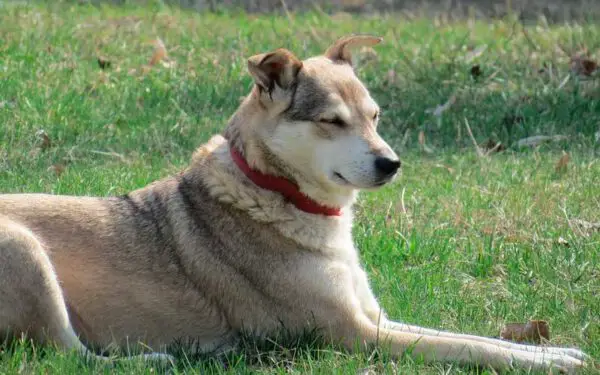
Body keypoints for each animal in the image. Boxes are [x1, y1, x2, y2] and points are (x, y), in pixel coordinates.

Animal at [0, 35, 592, 374]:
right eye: (332, 121)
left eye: (375, 116)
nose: (391, 163)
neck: (276, 192)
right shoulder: (357, 336)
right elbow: (473, 350)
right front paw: (552, 363)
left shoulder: (376, 317)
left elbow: (469, 337)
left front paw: (554, 351)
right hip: (25, 249)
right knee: (67, 355)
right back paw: (158, 360)